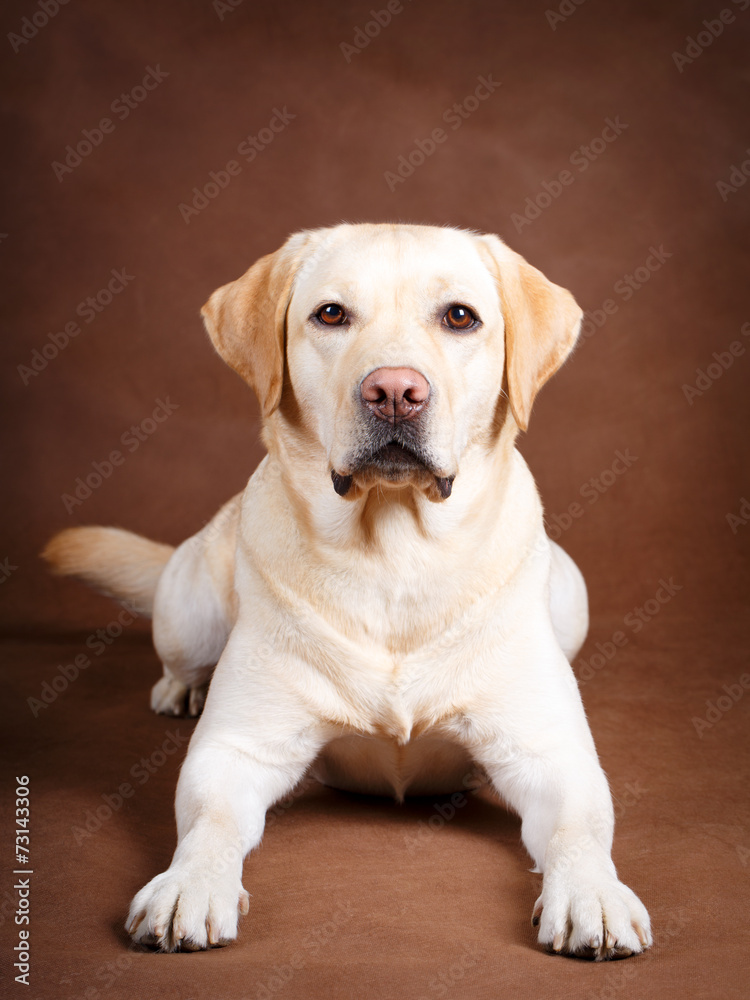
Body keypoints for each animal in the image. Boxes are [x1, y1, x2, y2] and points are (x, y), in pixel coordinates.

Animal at [44, 221, 652, 960]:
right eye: (331, 314)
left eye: (460, 317)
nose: (394, 390)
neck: (394, 555)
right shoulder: (237, 747)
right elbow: (210, 820)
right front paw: (188, 885)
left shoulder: (549, 751)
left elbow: (580, 826)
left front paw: (593, 891)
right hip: (189, 602)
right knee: (182, 654)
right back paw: (181, 688)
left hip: (573, 591)